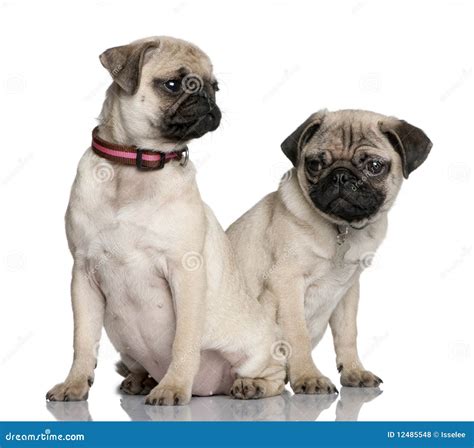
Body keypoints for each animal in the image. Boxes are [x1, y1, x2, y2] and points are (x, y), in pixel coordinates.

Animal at [46, 37, 286, 406]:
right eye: (174, 85)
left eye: (215, 87)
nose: (207, 99)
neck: (134, 165)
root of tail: (210, 388)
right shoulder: (83, 275)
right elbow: (83, 341)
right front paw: (74, 384)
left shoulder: (185, 273)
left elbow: (184, 342)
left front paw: (173, 387)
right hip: (123, 342)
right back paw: (140, 380)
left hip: (256, 350)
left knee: (274, 374)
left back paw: (251, 385)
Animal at [228, 110, 432, 394]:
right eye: (314, 164)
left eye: (374, 166)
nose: (341, 176)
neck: (341, 227)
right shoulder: (287, 283)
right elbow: (297, 335)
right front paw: (308, 377)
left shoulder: (347, 290)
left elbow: (347, 333)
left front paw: (354, 371)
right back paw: (253, 383)